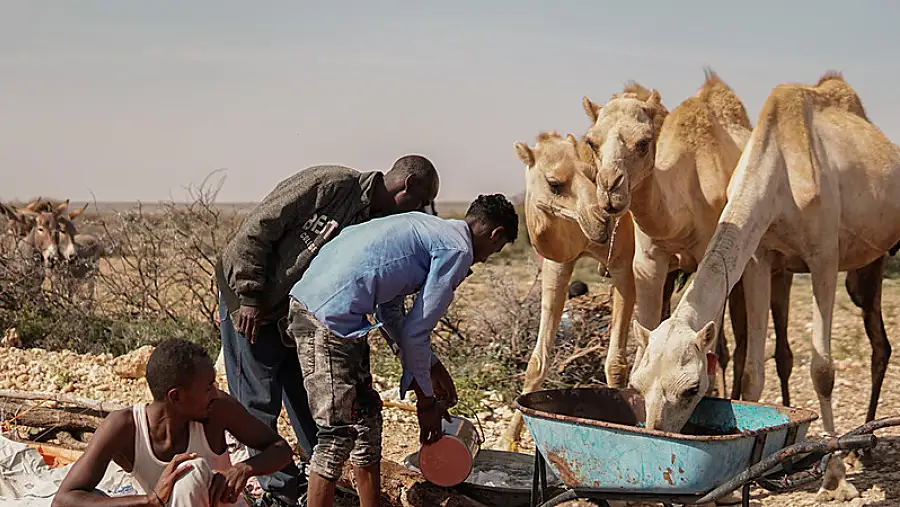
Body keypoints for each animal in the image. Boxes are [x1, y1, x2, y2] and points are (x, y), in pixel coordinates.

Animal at [500, 132, 640, 452]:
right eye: (554, 184)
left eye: (592, 175)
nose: (602, 219)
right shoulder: (557, 263)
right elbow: (537, 362)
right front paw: (508, 438)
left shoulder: (623, 266)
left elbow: (615, 363)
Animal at [624, 73, 900, 442]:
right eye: (637, 385)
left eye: (691, 388)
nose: (655, 431)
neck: (779, 174)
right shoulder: (759, 258)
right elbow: (754, 373)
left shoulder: (824, 255)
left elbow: (822, 370)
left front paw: (834, 446)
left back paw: (860, 444)